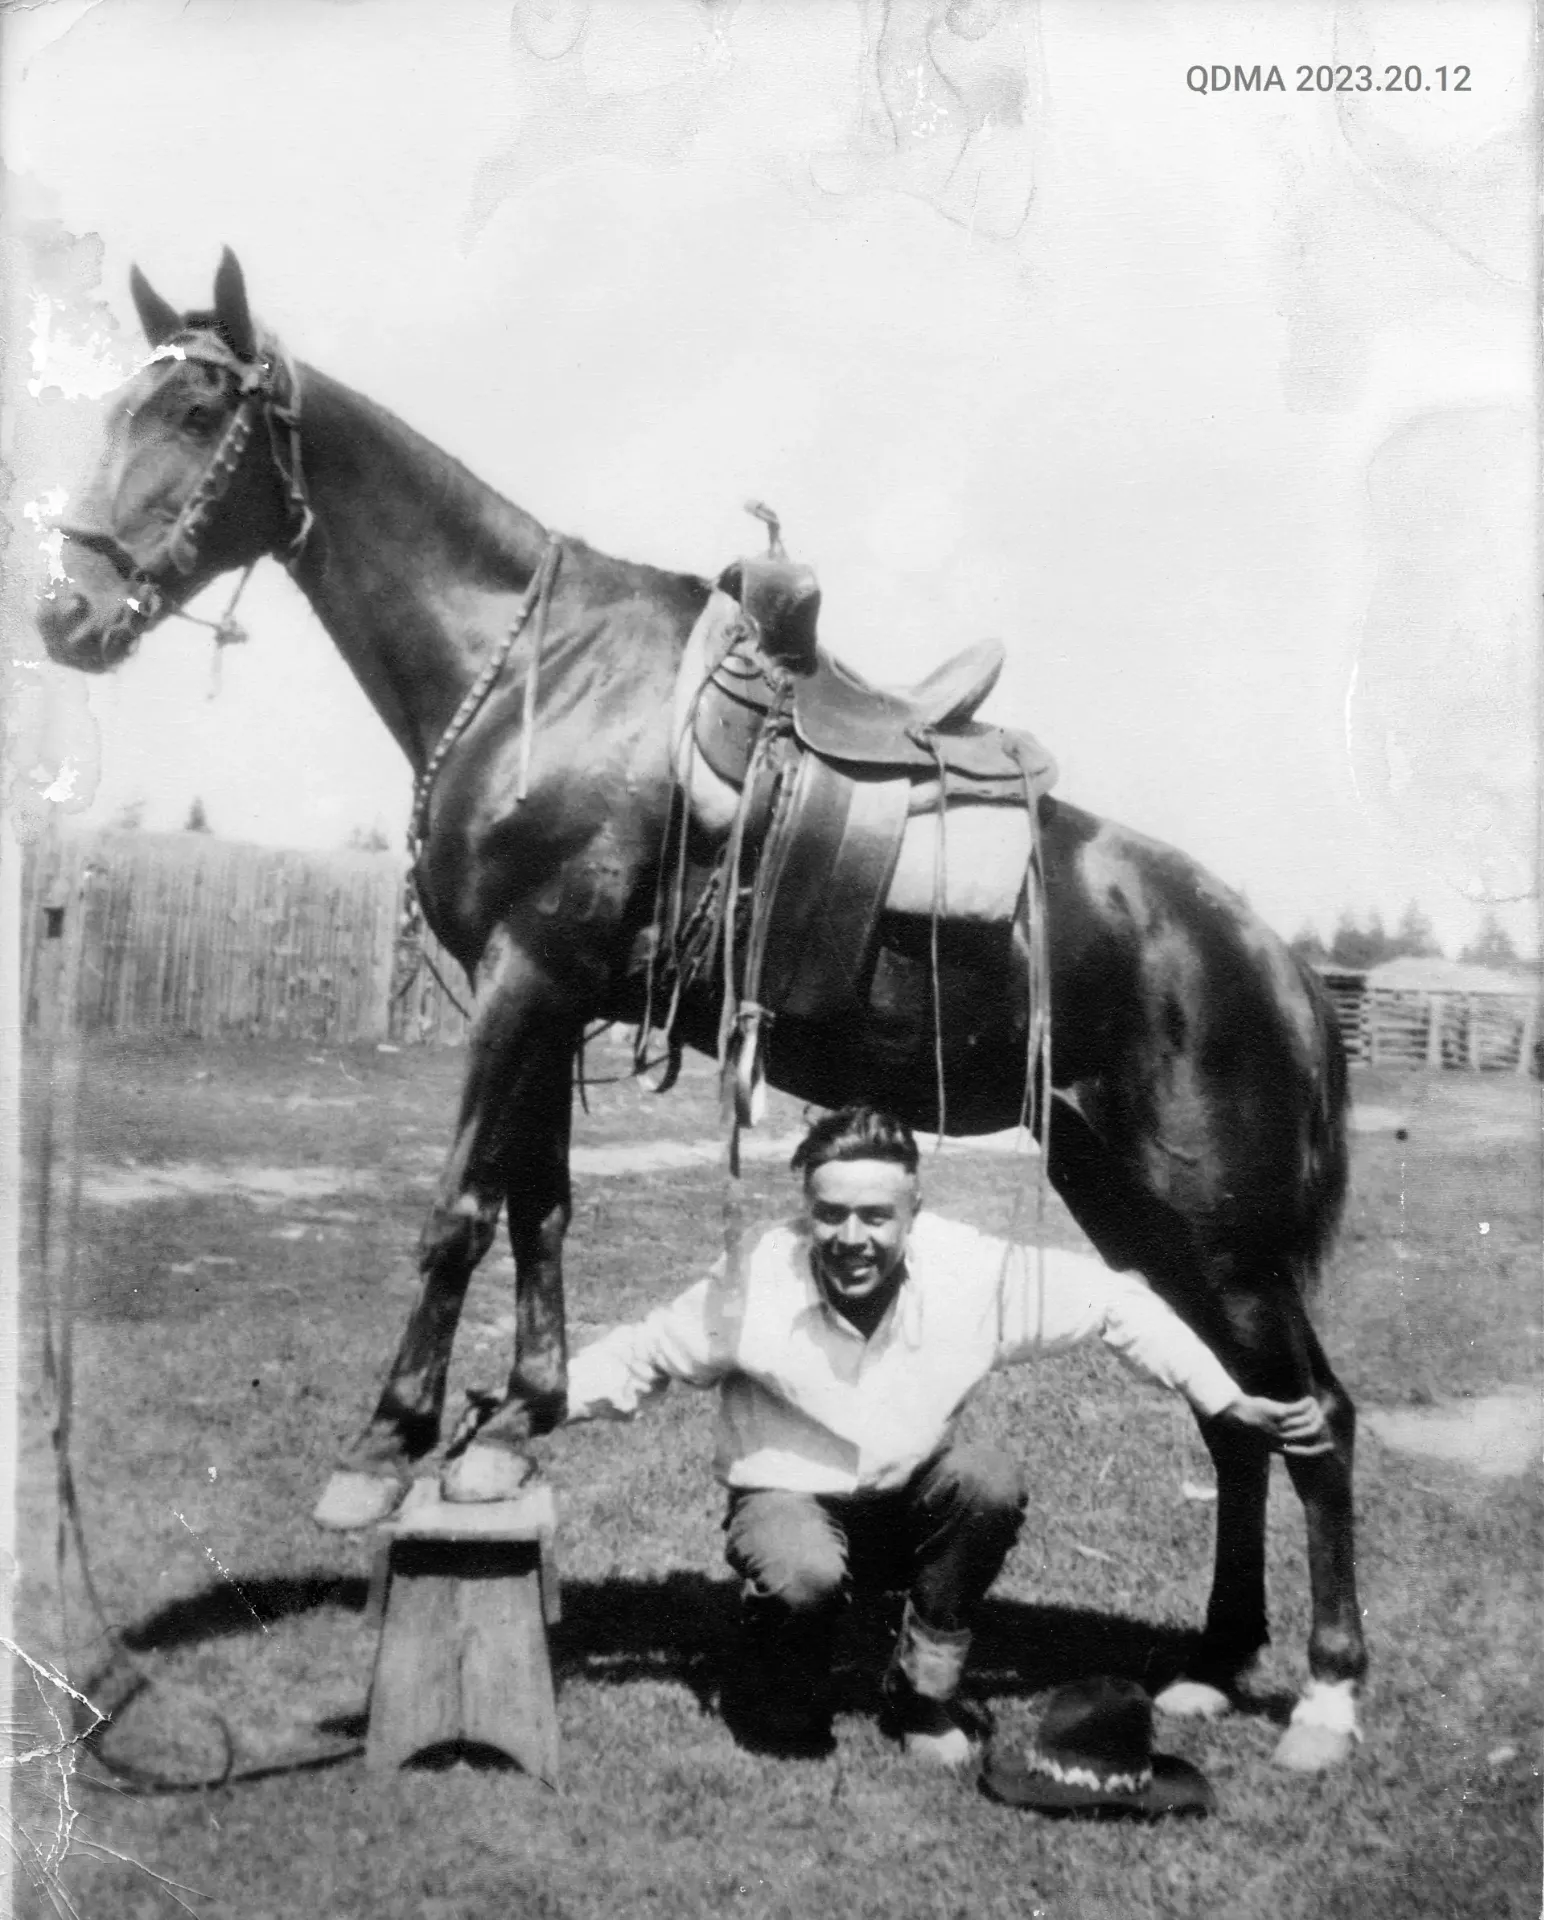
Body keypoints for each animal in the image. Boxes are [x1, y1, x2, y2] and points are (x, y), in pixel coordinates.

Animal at [33, 251, 1359, 1766]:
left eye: (199, 410)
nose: (64, 616)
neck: (538, 673)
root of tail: (1269, 959)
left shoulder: (527, 977)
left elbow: (458, 1211)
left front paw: (383, 1450)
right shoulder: (552, 996)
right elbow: (540, 1206)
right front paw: (510, 1428)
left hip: (1222, 1231)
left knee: (1318, 1419)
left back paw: (1327, 1693)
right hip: (1133, 1206)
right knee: (1240, 1420)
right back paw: (1214, 1661)